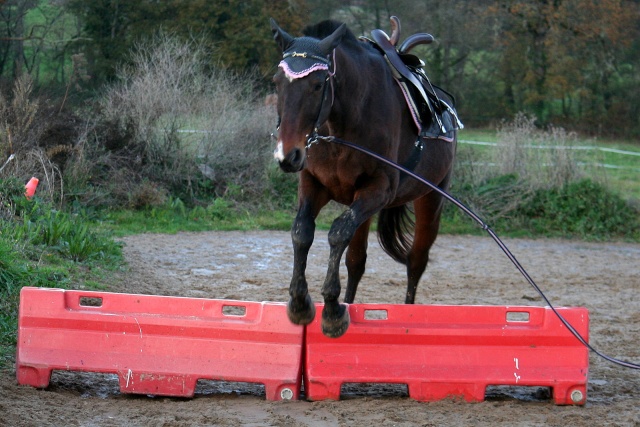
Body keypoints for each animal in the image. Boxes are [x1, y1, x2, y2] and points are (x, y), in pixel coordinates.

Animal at [272, 18, 460, 338]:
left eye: (317, 84)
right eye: (276, 82)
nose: (288, 155)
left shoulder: (378, 190)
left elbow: (336, 233)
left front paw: (332, 310)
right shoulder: (314, 185)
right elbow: (302, 231)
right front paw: (300, 303)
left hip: (431, 199)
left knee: (416, 261)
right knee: (356, 261)